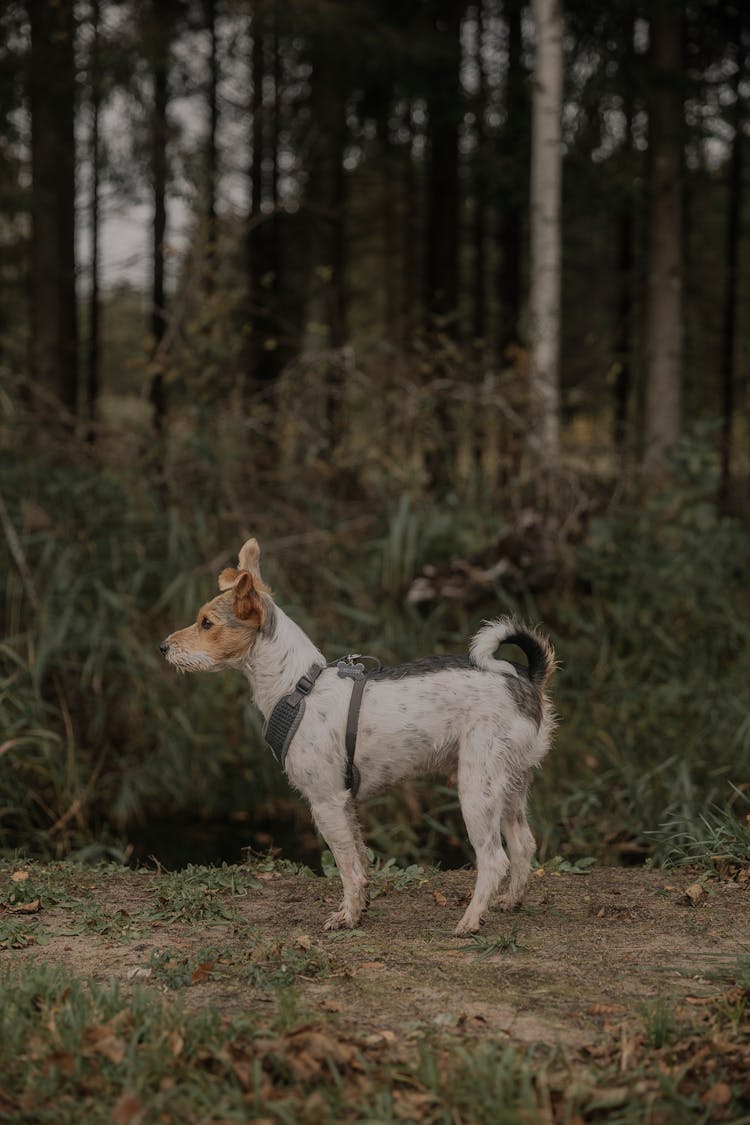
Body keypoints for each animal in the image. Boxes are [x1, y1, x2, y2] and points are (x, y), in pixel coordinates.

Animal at [159, 535, 557, 931]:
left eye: (206, 623)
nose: (163, 647)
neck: (297, 687)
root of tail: (526, 677)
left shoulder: (327, 802)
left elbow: (346, 867)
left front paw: (347, 916)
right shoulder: (346, 804)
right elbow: (360, 862)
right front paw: (360, 908)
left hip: (477, 789)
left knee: (494, 859)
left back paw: (471, 920)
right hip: (510, 785)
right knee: (524, 844)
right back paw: (511, 901)